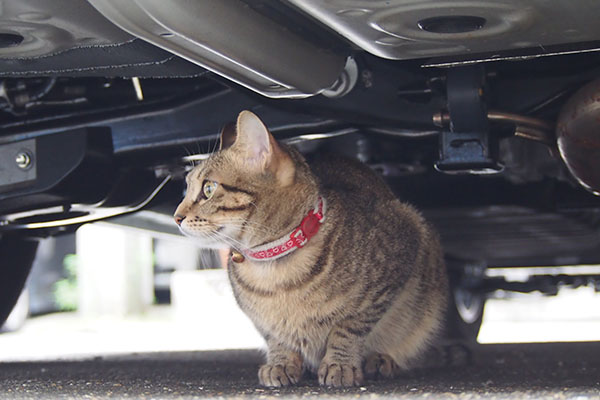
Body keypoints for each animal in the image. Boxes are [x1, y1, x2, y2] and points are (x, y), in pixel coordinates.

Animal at [172, 110, 446, 388]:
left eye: (208, 189)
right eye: (187, 186)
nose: (176, 217)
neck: (272, 264)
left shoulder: (398, 256)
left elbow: (349, 327)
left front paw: (340, 363)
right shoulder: (263, 322)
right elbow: (275, 336)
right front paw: (281, 362)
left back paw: (381, 360)